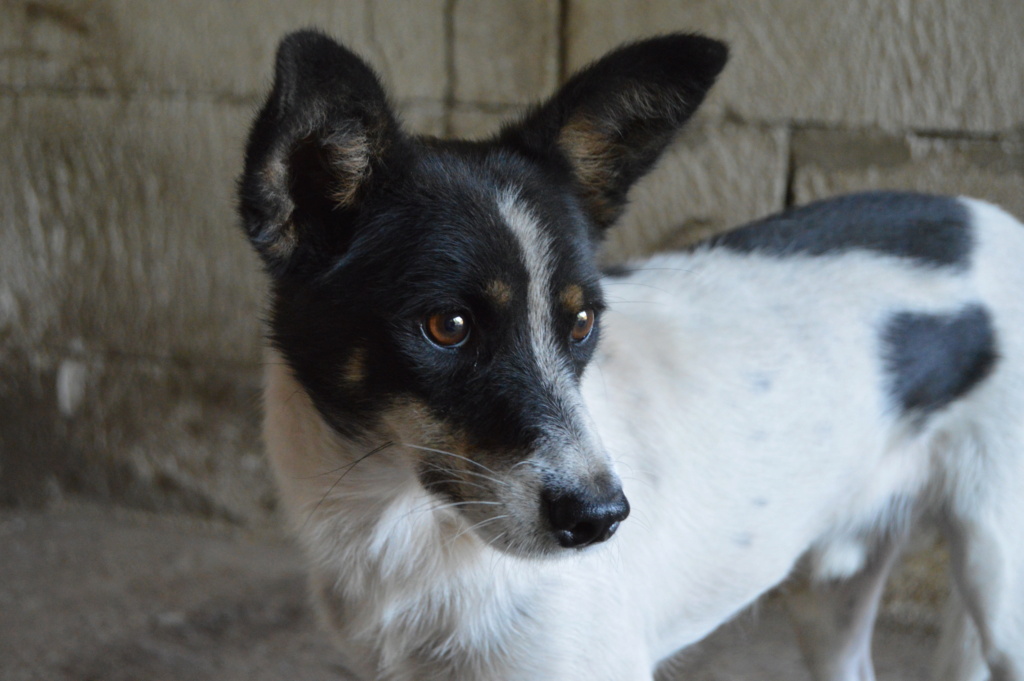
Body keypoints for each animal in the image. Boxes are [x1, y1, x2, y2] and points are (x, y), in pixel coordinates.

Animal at [234, 29, 1024, 675]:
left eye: (582, 321)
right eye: (447, 325)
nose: (600, 521)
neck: (396, 515)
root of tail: (996, 219)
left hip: (998, 580)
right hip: (830, 590)